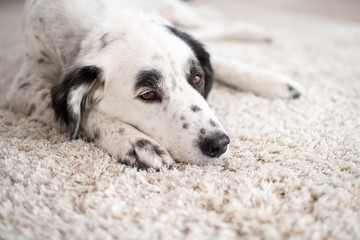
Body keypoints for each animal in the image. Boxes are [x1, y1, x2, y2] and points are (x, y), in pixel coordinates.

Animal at [7, 0, 302, 169]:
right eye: (148, 94)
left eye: (197, 78)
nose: (219, 144)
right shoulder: (22, 89)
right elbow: (86, 113)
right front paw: (135, 143)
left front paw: (270, 81)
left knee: (207, 23)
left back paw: (256, 32)